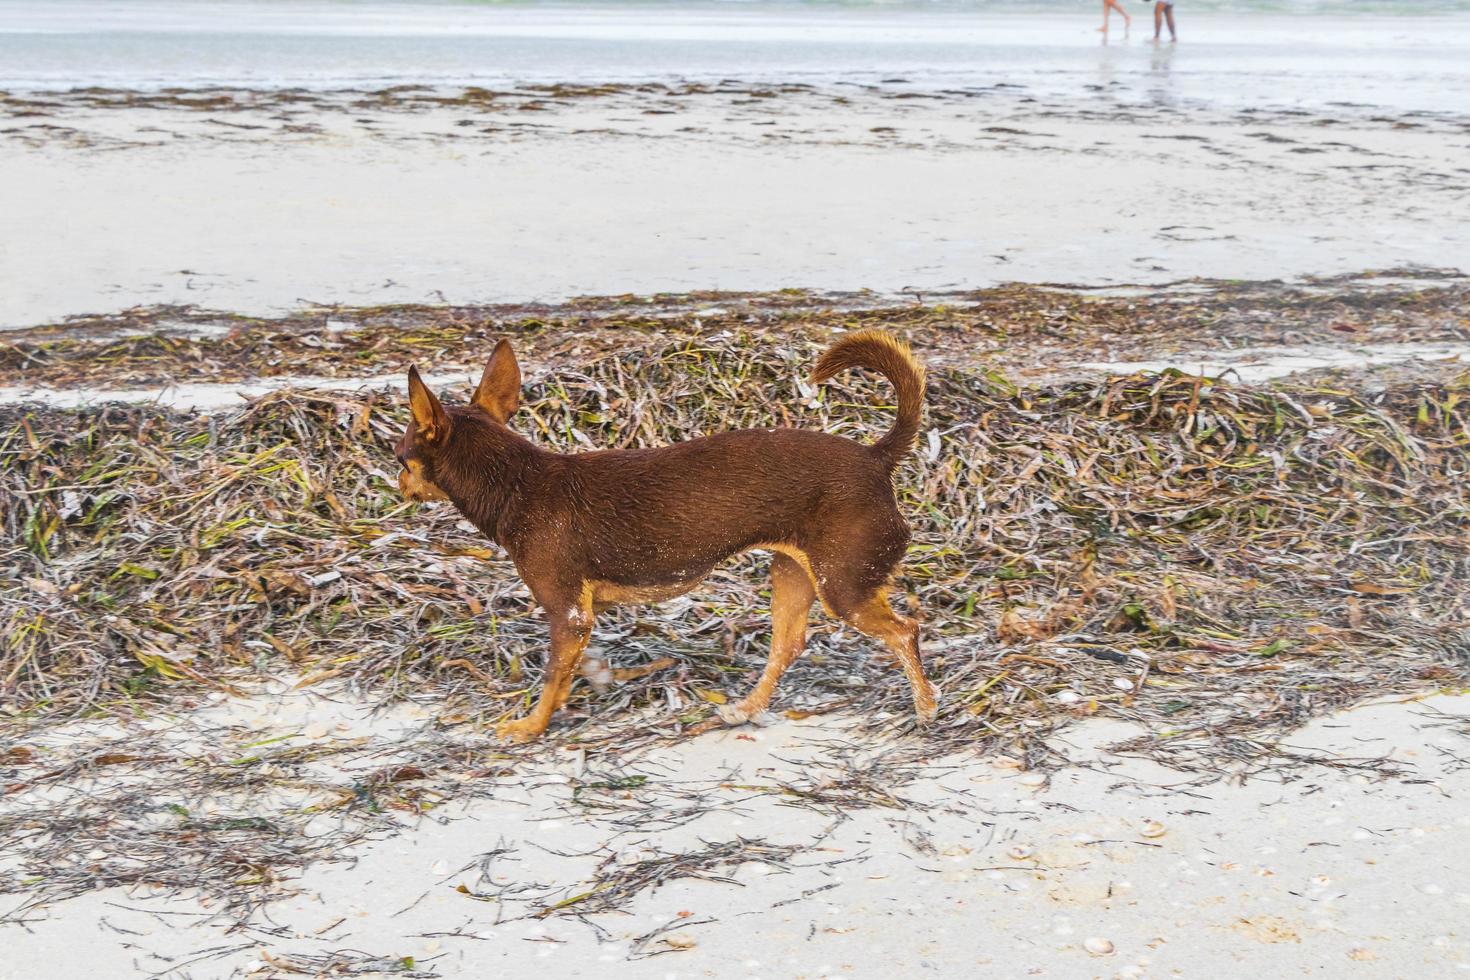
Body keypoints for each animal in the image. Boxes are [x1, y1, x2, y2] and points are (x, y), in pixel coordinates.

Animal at [393, 332, 940, 743]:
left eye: (400, 457)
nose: (396, 481)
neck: (516, 484)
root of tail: (876, 458)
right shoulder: (582, 618)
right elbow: (572, 668)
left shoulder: (567, 612)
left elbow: (550, 676)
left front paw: (531, 726)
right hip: (794, 573)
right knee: (789, 645)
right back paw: (744, 709)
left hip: (844, 586)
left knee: (905, 632)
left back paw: (925, 709)